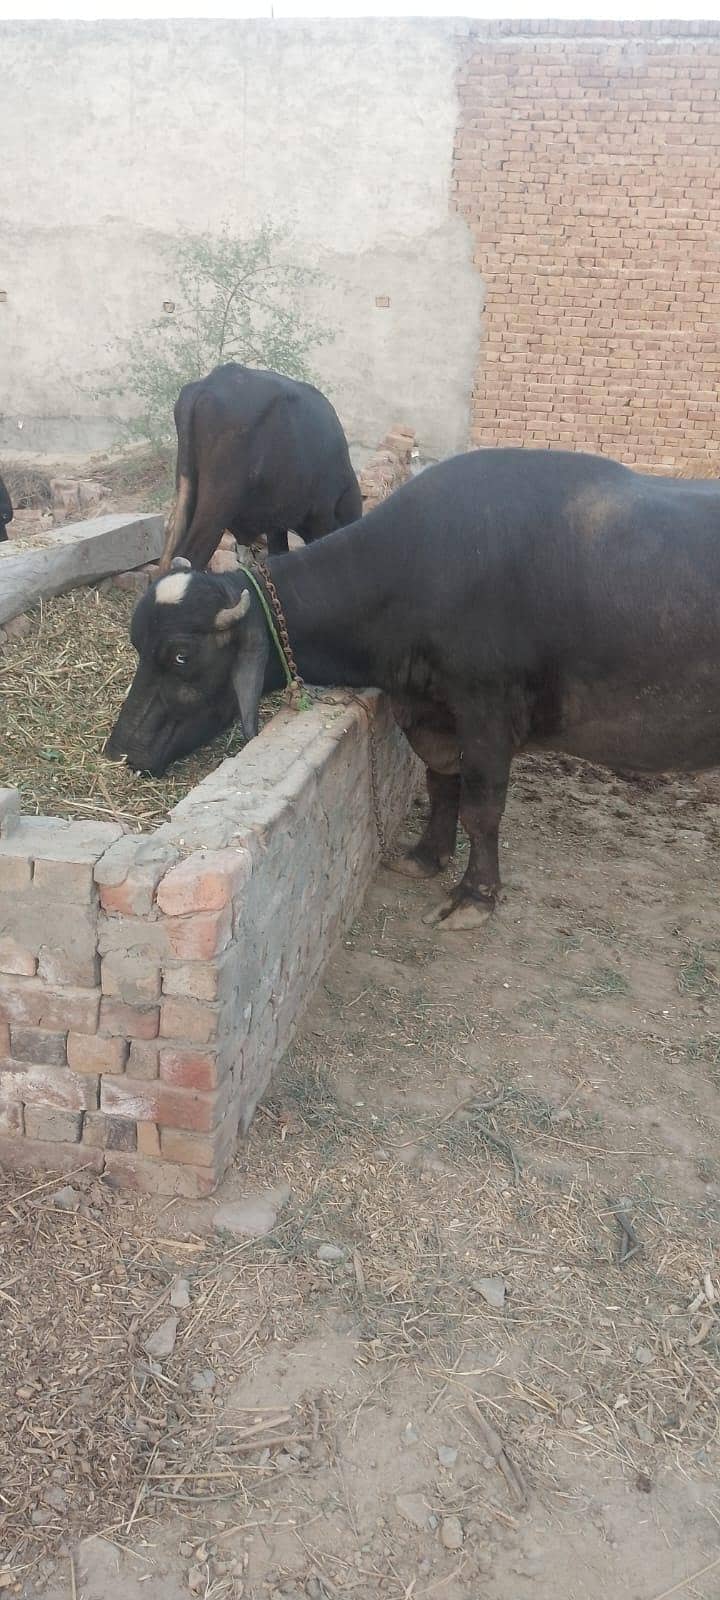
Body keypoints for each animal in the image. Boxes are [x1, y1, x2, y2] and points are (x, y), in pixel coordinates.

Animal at [107, 447, 720, 932]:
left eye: (181, 656)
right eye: (137, 643)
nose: (120, 750)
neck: (417, 574)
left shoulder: (487, 713)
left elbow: (482, 808)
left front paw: (474, 897)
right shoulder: (429, 710)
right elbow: (441, 783)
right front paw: (427, 856)